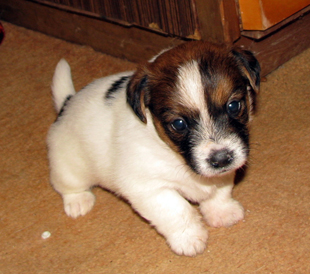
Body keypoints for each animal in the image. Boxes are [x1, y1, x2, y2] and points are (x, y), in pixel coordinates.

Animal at [47, 41, 260, 256]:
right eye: (179, 124)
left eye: (234, 106)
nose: (221, 159)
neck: (175, 155)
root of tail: (67, 103)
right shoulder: (149, 188)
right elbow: (177, 211)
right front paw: (189, 238)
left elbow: (220, 191)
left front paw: (222, 212)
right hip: (69, 168)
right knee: (66, 185)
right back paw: (78, 201)